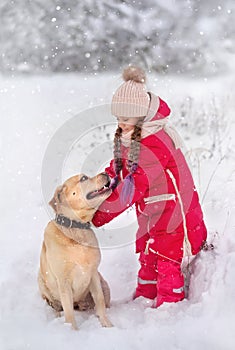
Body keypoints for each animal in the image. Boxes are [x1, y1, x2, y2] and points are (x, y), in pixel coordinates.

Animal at [37, 174, 113, 330]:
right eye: (83, 178)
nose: (106, 174)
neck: (77, 229)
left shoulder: (93, 274)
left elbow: (99, 299)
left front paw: (106, 324)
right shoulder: (63, 281)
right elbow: (68, 310)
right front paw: (72, 331)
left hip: (105, 285)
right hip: (41, 281)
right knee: (55, 305)